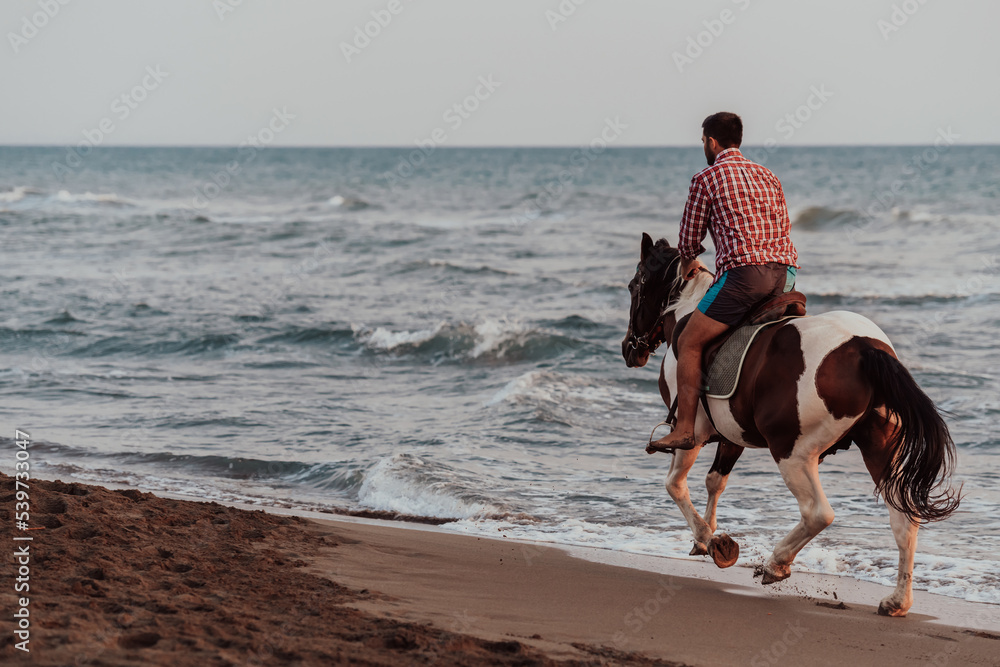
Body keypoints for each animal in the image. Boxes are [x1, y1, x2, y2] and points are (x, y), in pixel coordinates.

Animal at [624, 232, 960, 620]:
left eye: (633, 286)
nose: (630, 350)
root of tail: (864, 349)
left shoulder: (691, 435)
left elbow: (675, 485)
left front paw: (711, 540)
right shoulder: (732, 436)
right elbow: (715, 481)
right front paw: (706, 536)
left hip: (793, 453)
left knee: (818, 514)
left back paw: (776, 563)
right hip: (880, 449)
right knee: (904, 521)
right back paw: (897, 601)